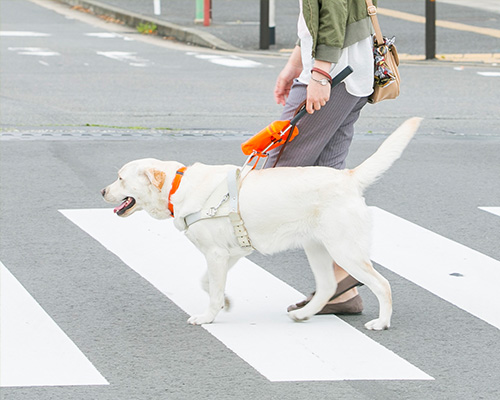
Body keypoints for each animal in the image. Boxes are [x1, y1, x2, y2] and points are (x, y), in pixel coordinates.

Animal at [101, 117, 422, 330]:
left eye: (120, 177)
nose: (102, 191)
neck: (177, 187)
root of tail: (348, 177)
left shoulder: (216, 254)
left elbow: (211, 289)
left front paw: (208, 316)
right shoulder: (230, 253)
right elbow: (208, 282)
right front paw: (225, 302)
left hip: (344, 249)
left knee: (382, 284)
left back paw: (382, 322)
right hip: (318, 248)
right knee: (329, 285)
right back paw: (304, 314)